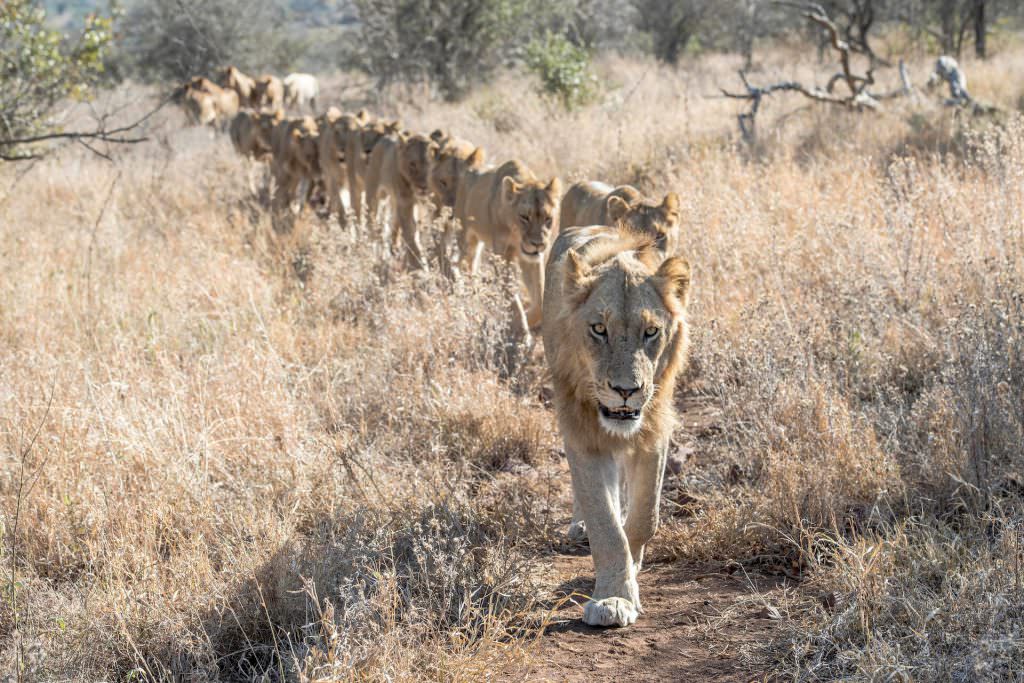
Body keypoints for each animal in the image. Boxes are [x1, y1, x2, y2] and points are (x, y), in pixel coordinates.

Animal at [363, 130, 440, 268]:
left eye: (430, 165)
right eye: (412, 164)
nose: (423, 187)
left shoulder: (425, 205)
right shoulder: (405, 202)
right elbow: (411, 233)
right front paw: (418, 265)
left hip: (394, 201)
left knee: (394, 224)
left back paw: (394, 249)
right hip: (375, 195)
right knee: (372, 222)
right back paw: (374, 250)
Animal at [454, 160, 561, 328]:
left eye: (548, 218)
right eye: (524, 217)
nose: (537, 244)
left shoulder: (531, 259)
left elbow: (539, 301)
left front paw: (526, 319)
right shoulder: (502, 254)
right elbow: (510, 295)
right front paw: (519, 323)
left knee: (471, 264)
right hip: (464, 235)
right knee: (459, 261)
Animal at [542, 223, 691, 628]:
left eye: (651, 331)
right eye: (598, 328)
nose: (626, 390)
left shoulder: (654, 429)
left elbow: (643, 517)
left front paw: (632, 568)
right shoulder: (581, 434)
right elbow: (605, 525)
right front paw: (613, 599)